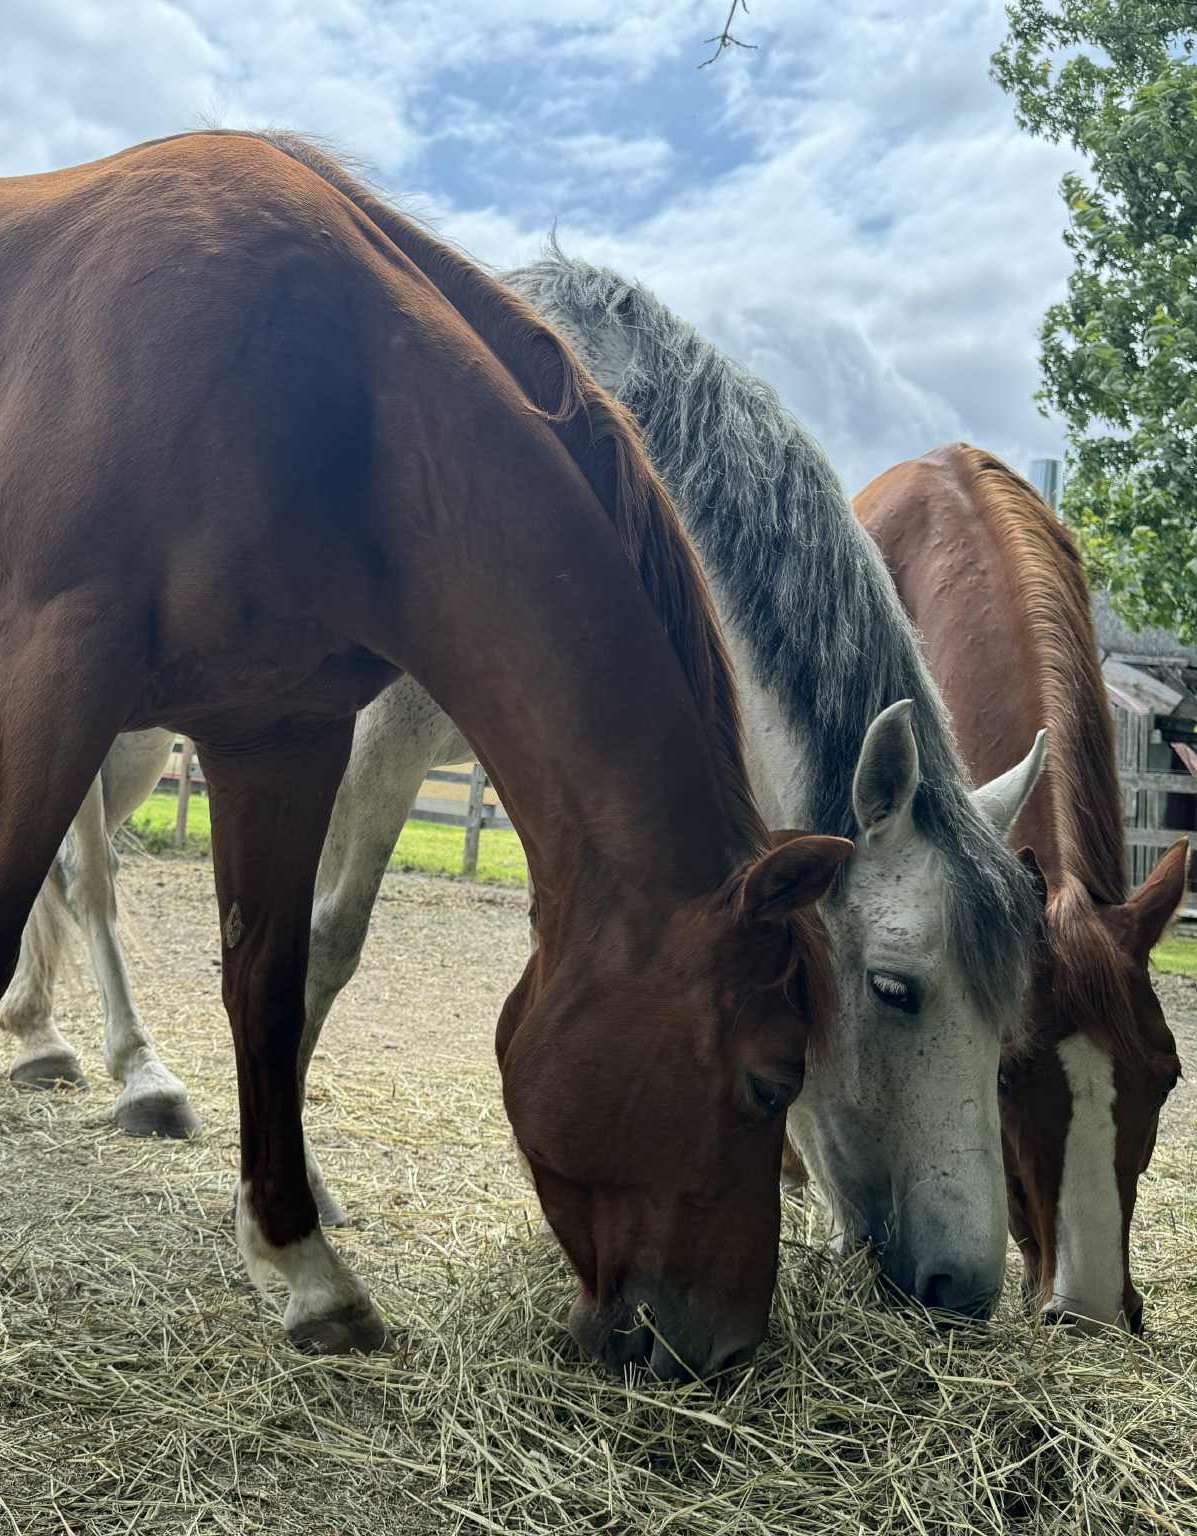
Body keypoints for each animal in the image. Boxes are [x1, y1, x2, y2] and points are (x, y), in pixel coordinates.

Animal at [8, 246, 1047, 1318]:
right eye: (893, 988)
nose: (963, 1285)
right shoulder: (375, 741)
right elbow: (323, 943)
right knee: (89, 880)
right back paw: (138, 1077)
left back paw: (41, 1036)